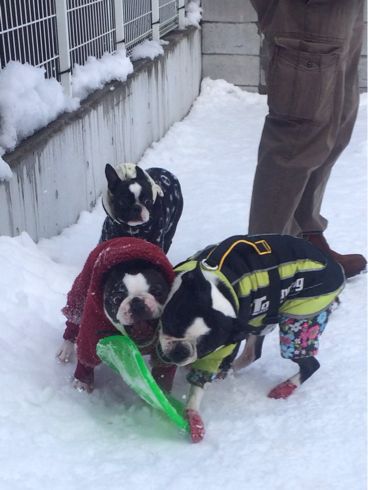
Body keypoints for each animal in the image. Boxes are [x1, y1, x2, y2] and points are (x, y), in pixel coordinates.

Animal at [56, 235, 176, 392]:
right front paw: (82, 383)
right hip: (80, 295)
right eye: (117, 299)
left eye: (158, 292)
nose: (137, 302)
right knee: (74, 320)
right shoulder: (92, 334)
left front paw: (161, 394)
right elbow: (86, 358)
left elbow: (163, 373)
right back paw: (66, 348)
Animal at [157, 235, 344, 442]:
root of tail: (334, 265)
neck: (220, 286)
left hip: (302, 319)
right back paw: (229, 371)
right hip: (260, 321)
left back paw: (285, 387)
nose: (181, 352)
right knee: (253, 353)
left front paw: (193, 414)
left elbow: (199, 383)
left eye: (205, 348)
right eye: (171, 323)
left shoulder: (224, 345)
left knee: (310, 363)